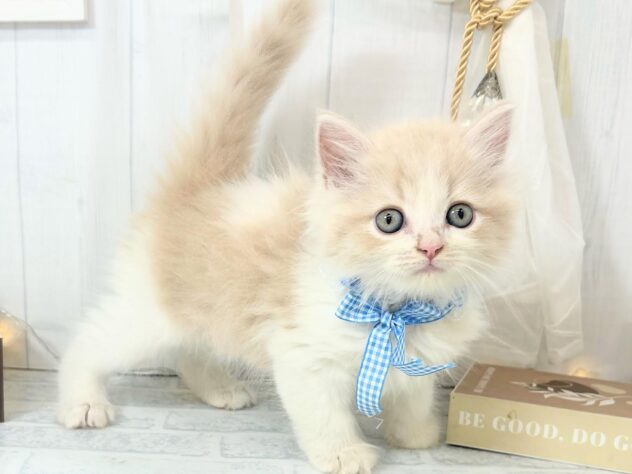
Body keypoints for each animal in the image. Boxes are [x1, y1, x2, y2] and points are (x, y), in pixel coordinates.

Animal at [57, 0, 516, 472]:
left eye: (459, 215)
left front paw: (415, 435)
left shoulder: (419, 363)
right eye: (389, 220)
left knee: (193, 349)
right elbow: (324, 414)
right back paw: (82, 401)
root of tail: (200, 190)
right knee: (90, 340)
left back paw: (220, 389)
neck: (398, 312)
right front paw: (343, 453)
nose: (430, 247)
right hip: (150, 314)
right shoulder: (303, 355)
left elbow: (413, 396)